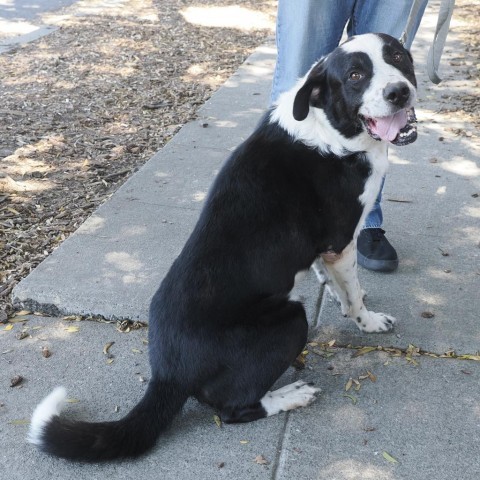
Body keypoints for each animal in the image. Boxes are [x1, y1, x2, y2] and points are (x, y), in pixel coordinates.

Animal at [28, 33, 416, 462]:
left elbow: (332, 280)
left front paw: (336, 297)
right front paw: (368, 320)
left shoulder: (326, 249)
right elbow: (355, 292)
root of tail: (167, 373)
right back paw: (288, 397)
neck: (328, 129)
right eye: (355, 76)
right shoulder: (340, 239)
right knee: (232, 410)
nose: (399, 92)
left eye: (398, 56)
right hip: (289, 320)